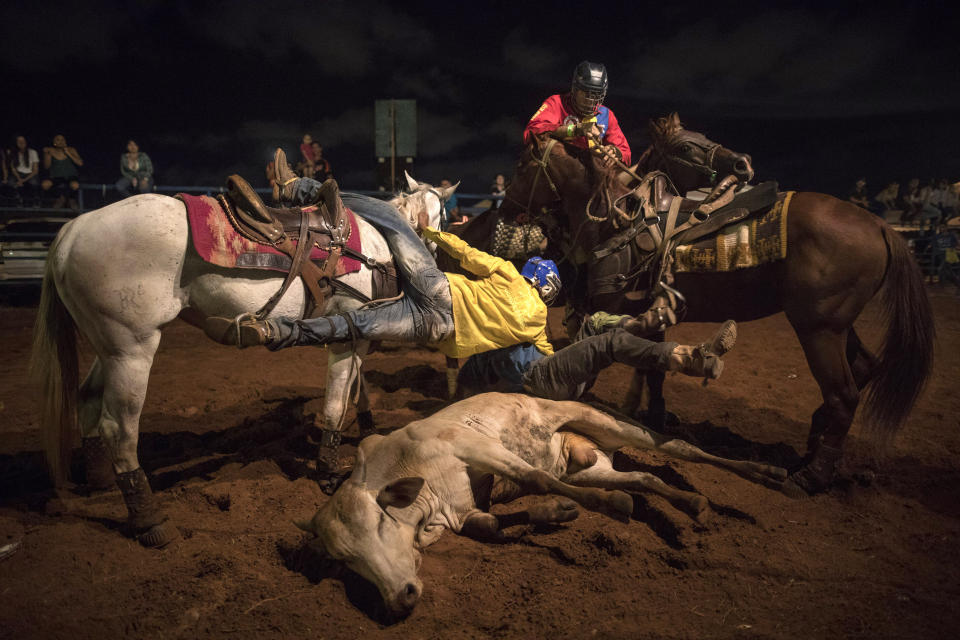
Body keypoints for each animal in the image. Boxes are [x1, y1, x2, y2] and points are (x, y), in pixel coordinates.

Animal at [30, 175, 458, 544]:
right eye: (446, 213)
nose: (438, 253)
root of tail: (72, 231)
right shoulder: (350, 330)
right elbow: (336, 403)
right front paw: (329, 471)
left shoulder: (354, 333)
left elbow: (356, 384)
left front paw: (364, 425)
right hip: (132, 348)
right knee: (118, 428)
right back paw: (149, 520)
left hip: (110, 345)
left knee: (87, 400)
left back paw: (99, 481)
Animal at [498, 116, 932, 496]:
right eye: (686, 145)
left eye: (520, 166)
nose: (504, 206)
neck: (617, 219)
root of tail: (881, 226)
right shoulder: (651, 312)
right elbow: (654, 368)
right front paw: (653, 413)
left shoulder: (615, 306)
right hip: (836, 326)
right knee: (863, 369)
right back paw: (812, 447)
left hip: (819, 330)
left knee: (843, 395)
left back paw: (811, 477)